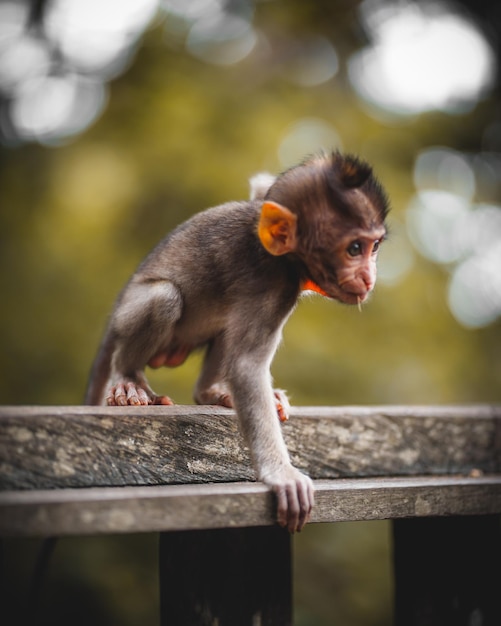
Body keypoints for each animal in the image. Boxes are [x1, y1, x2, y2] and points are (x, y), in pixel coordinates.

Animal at [86, 151, 388, 532]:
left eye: (374, 247)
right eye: (354, 249)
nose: (370, 275)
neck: (287, 260)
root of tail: (117, 306)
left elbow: (263, 189)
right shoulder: (272, 283)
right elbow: (245, 366)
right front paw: (281, 474)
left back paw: (211, 391)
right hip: (129, 314)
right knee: (164, 297)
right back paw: (129, 378)